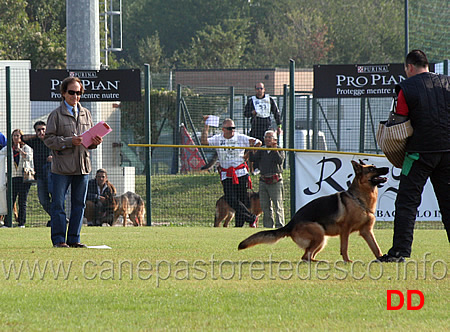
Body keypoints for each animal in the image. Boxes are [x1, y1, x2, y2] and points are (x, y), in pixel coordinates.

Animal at [237, 161, 388, 262]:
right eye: (372, 168)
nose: (387, 167)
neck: (359, 198)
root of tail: (290, 224)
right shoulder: (345, 230)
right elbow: (344, 247)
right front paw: (347, 261)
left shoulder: (366, 231)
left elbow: (376, 248)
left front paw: (381, 258)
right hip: (319, 233)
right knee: (305, 256)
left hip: (322, 240)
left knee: (308, 255)